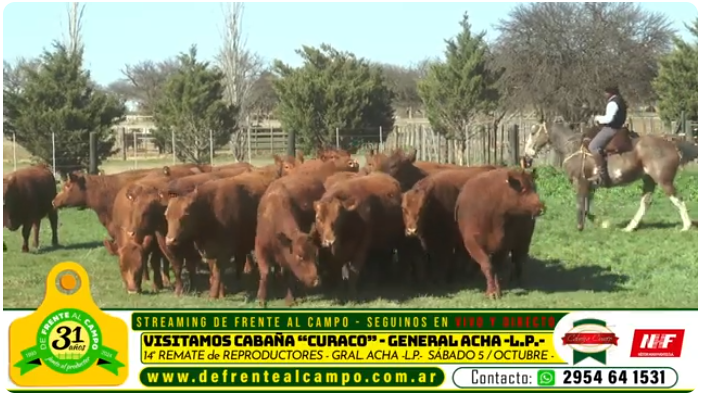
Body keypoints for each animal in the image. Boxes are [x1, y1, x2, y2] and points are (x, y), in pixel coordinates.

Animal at [254, 173, 326, 306]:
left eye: (315, 255)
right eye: (300, 256)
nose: (315, 281)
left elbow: (287, 274)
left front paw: (289, 299)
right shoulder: (260, 247)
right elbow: (265, 273)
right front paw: (261, 298)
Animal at [452, 168, 544, 298]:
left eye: (534, 188)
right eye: (523, 190)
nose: (541, 208)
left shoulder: (503, 245)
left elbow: (496, 268)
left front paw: (497, 290)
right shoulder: (473, 243)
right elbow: (487, 265)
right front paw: (492, 292)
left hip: (524, 240)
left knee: (519, 259)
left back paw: (517, 279)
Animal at [520, 123, 696, 232]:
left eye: (533, 132)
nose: (525, 157)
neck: (573, 148)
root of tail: (672, 144)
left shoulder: (580, 183)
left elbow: (581, 205)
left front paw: (582, 226)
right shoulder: (590, 187)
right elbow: (587, 208)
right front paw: (600, 223)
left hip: (664, 180)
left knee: (678, 199)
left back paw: (686, 226)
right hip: (649, 180)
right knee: (645, 203)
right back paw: (629, 227)